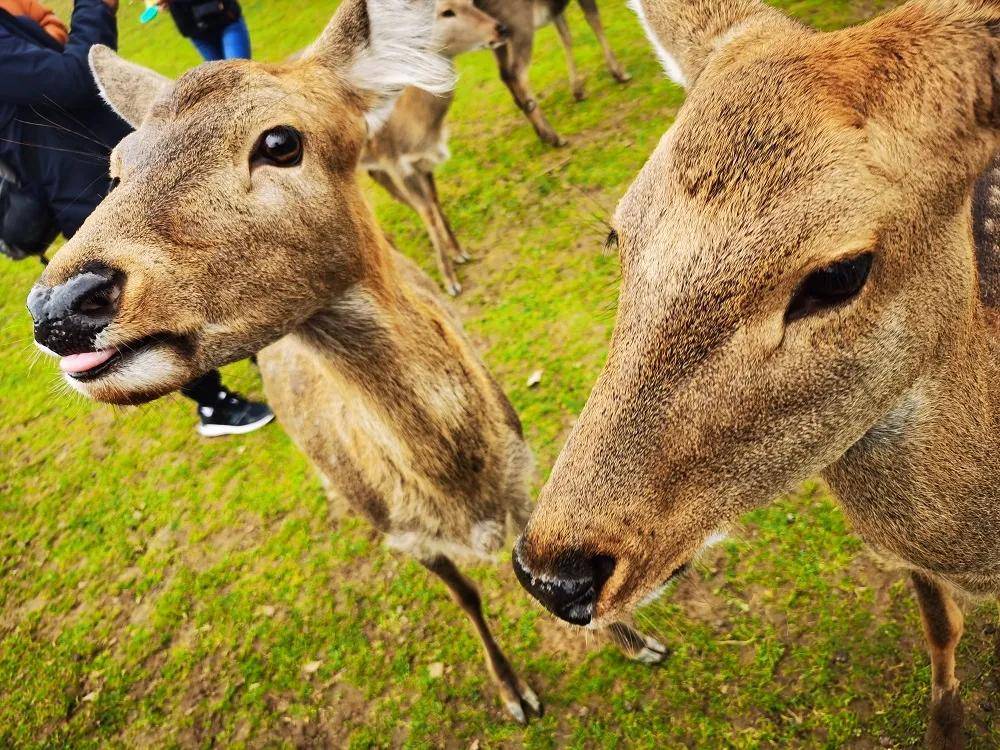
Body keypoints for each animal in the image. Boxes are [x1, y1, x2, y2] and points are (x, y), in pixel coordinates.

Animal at [362, 0, 512, 298]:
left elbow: (433, 202)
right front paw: (450, 282)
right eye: (445, 11)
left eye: (471, 2)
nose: (499, 28)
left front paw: (459, 252)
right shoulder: (398, 163)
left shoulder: (418, 162)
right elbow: (428, 213)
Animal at [482, 0, 632, 148]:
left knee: (504, 75)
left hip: (498, 38)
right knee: (516, 73)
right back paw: (553, 137)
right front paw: (620, 73)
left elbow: (565, 36)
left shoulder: (556, 10)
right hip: (518, 22)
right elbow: (594, 19)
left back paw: (542, 134)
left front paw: (578, 92)